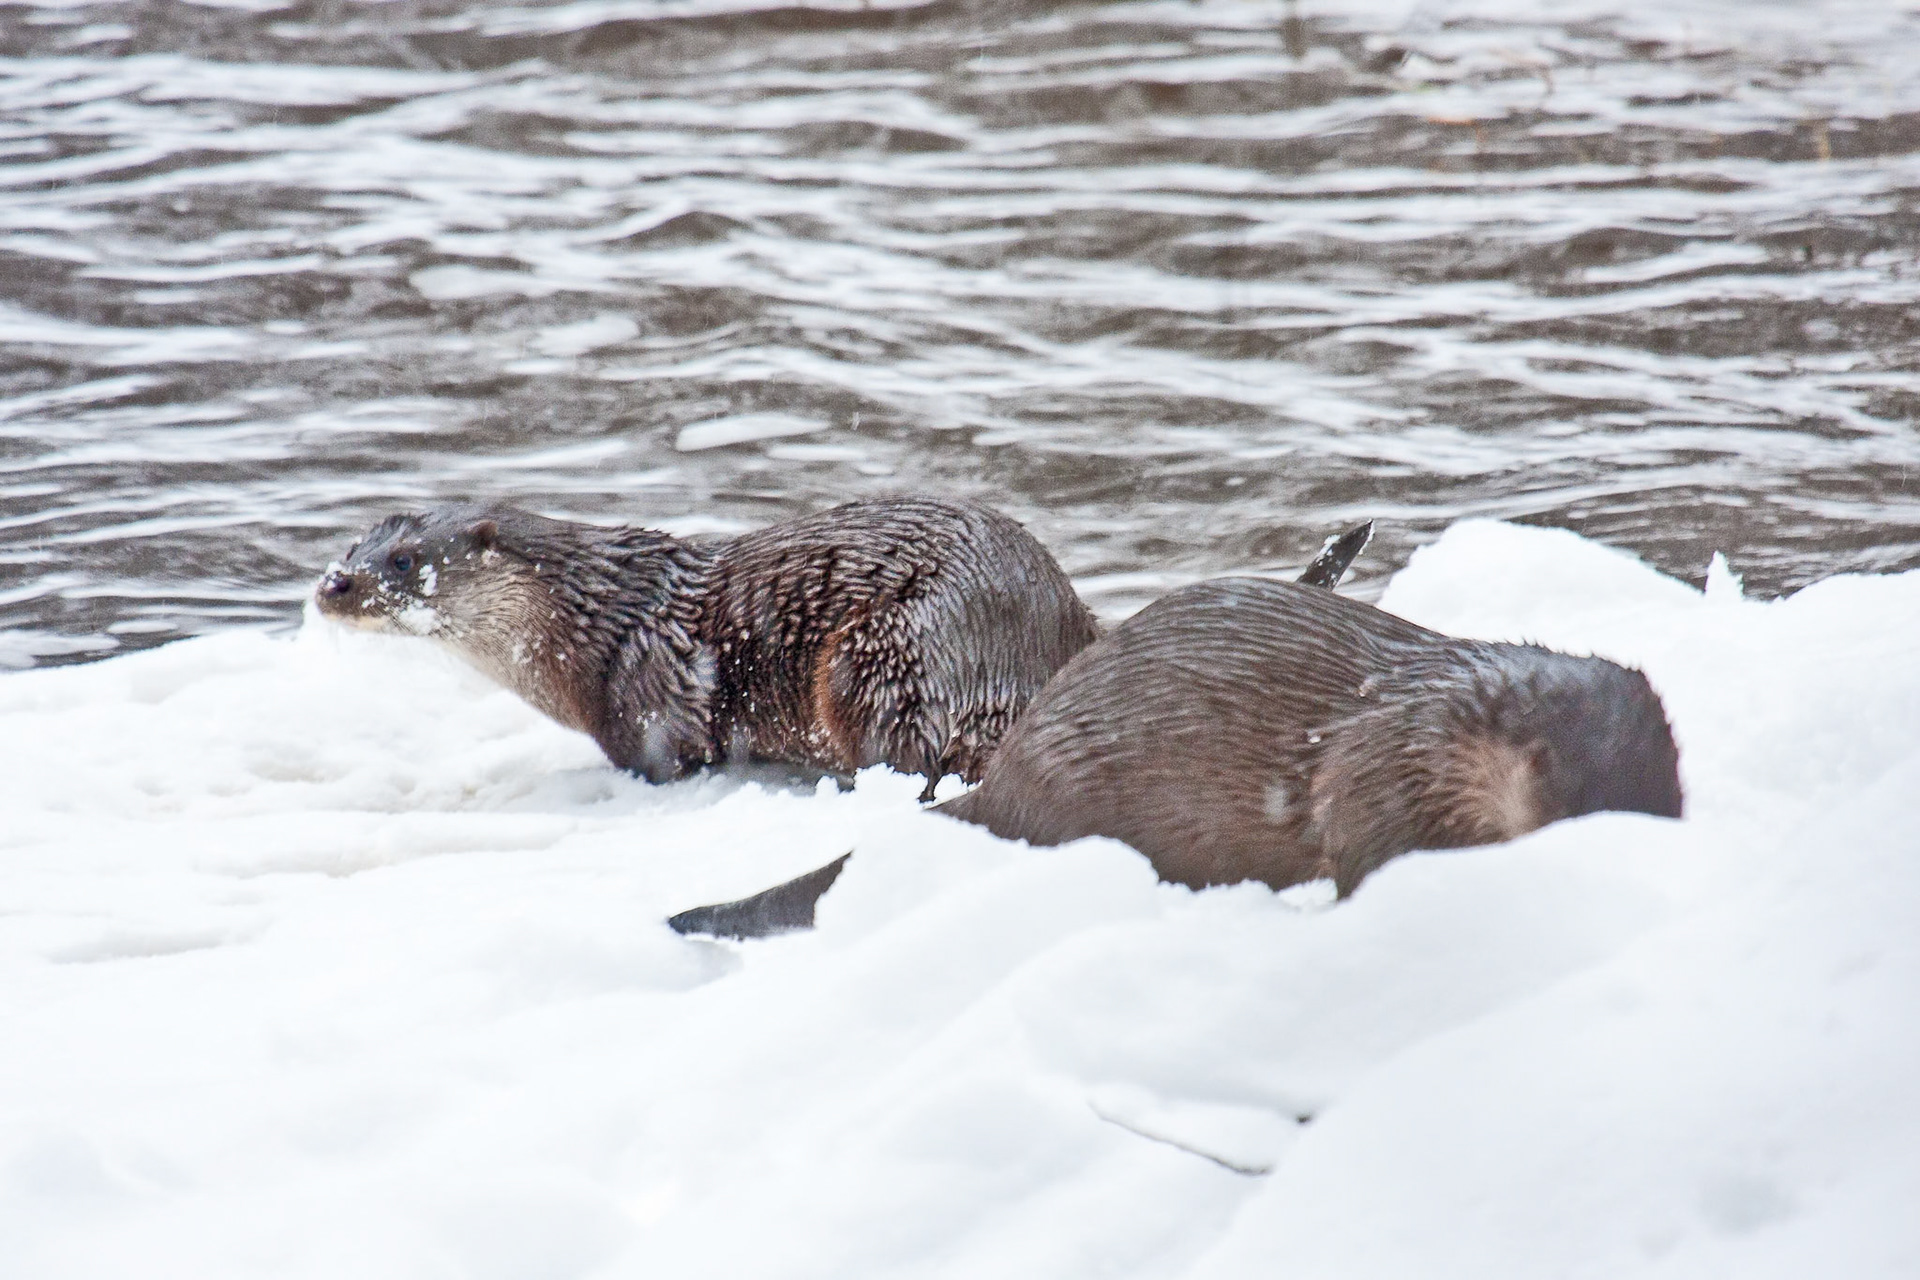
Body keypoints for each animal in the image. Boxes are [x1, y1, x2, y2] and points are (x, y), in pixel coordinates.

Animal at [315, 497, 1098, 792]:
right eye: (353, 548)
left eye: (404, 561)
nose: (333, 584)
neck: (591, 623)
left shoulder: (650, 694)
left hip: (890, 650)